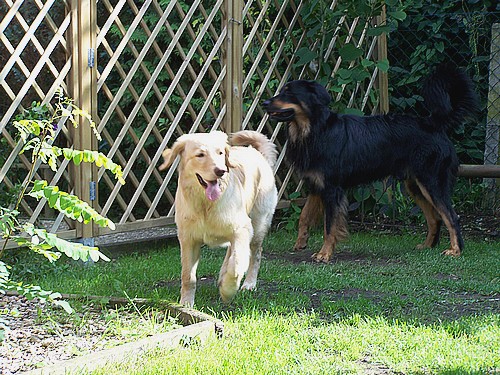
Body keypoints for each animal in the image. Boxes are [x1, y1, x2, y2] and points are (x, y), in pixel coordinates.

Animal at [264, 64, 478, 262]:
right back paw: (427, 246)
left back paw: (455, 250)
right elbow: (304, 216)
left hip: (432, 181)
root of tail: (433, 124)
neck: (315, 130)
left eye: (289, 92)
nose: (265, 102)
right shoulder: (316, 185)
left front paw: (325, 253)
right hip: (415, 185)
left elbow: (329, 225)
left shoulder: (332, 189)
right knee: (435, 218)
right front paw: (301, 242)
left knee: (451, 216)